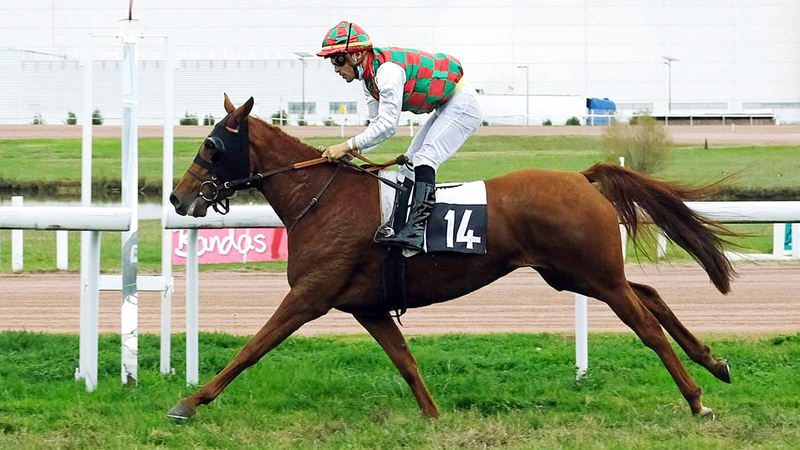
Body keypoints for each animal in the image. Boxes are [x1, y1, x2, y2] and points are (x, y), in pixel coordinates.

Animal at [167, 94, 737, 421]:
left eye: (213, 146)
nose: (177, 197)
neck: (324, 199)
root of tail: (581, 176)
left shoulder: (309, 295)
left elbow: (251, 348)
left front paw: (189, 403)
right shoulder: (367, 305)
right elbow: (406, 362)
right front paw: (434, 418)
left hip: (594, 275)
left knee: (647, 325)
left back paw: (696, 399)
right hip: (572, 274)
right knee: (651, 294)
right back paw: (715, 362)